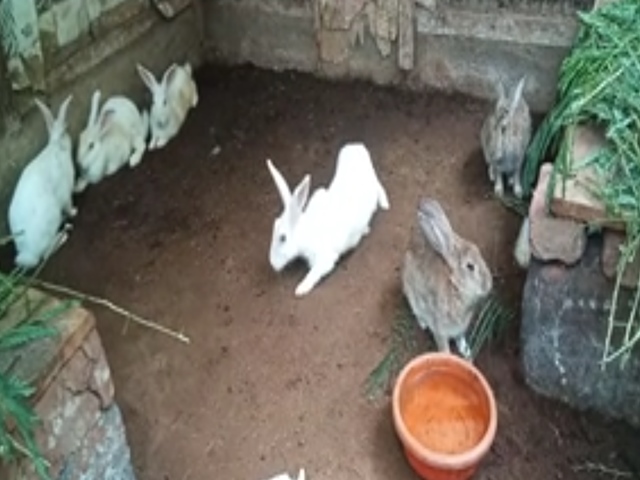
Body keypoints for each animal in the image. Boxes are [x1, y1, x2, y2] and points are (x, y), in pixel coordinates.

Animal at [8, 95, 75, 268]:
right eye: (66, 132)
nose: (69, 138)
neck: (56, 146)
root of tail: (28, 253)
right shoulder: (65, 193)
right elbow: (68, 205)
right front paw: (74, 212)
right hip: (52, 215)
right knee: (45, 255)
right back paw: (63, 235)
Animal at [400, 197, 496, 358]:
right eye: (470, 266)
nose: (488, 285)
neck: (456, 289)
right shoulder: (440, 329)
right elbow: (443, 347)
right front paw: (448, 357)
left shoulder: (460, 329)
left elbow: (460, 338)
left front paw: (466, 350)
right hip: (412, 296)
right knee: (417, 311)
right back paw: (423, 323)